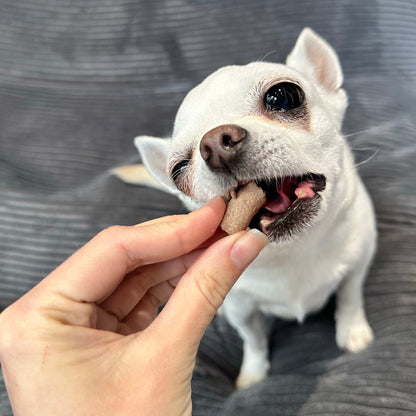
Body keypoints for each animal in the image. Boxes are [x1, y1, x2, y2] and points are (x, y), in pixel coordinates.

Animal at [114, 27, 376, 388]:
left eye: (283, 96)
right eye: (179, 170)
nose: (214, 144)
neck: (293, 252)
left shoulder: (358, 261)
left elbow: (350, 297)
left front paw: (352, 331)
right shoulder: (243, 311)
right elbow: (254, 341)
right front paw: (253, 376)